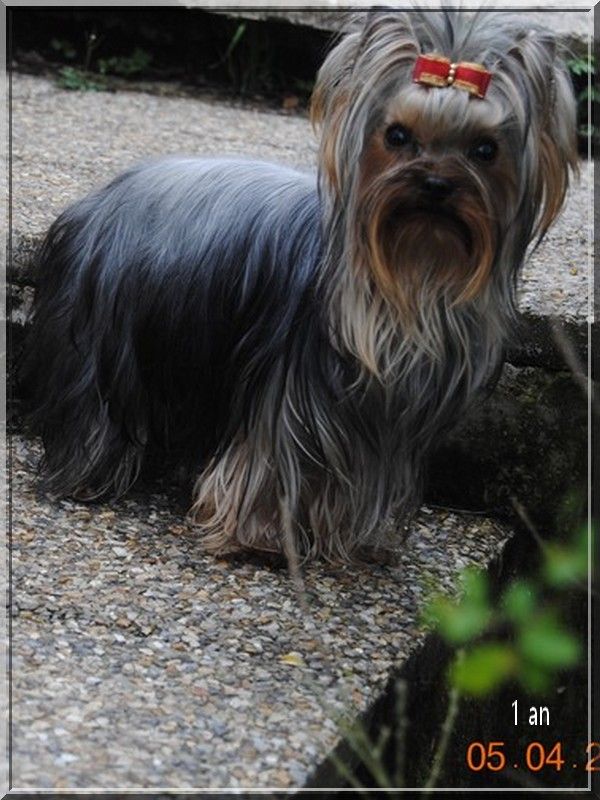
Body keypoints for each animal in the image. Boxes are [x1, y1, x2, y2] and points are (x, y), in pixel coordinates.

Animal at [21, 12, 580, 564]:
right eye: (397, 136)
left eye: (485, 150)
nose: (436, 184)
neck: (411, 276)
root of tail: (95, 201)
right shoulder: (288, 397)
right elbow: (269, 465)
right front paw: (262, 538)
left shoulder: (381, 420)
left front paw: (353, 542)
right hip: (107, 340)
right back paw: (89, 475)